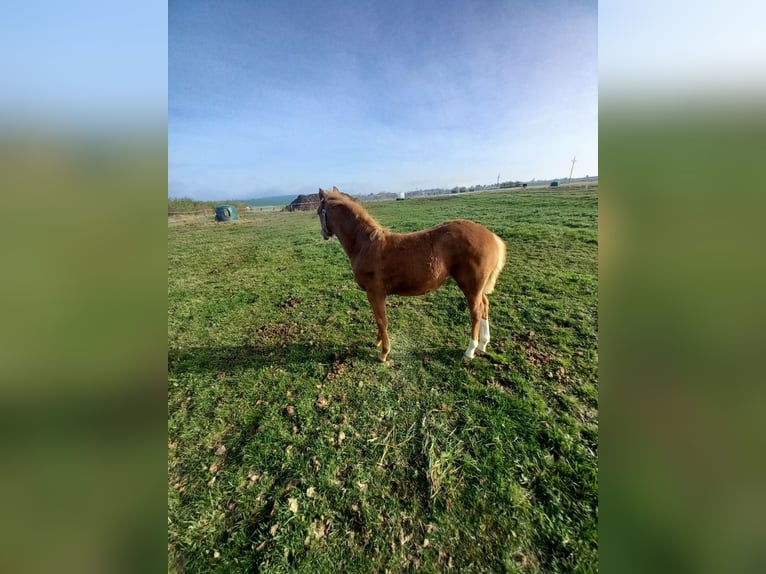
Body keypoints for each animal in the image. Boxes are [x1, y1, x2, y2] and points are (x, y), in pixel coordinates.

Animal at [316, 187, 508, 362]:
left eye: (318, 212)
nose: (324, 234)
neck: (365, 246)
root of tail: (492, 237)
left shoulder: (375, 293)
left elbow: (381, 320)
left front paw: (384, 353)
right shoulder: (375, 295)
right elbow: (378, 319)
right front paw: (377, 342)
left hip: (470, 285)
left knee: (476, 312)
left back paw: (470, 351)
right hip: (477, 287)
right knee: (485, 305)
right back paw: (483, 345)